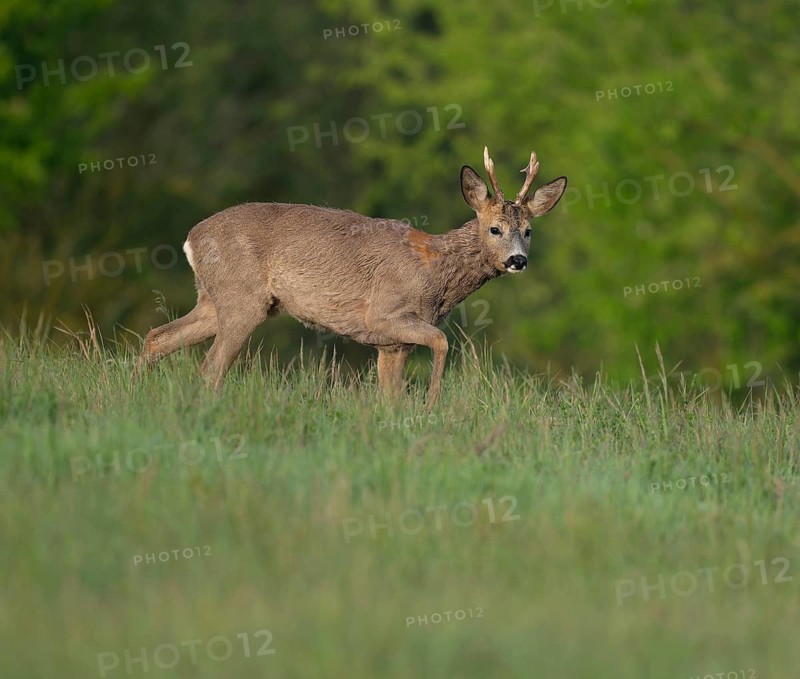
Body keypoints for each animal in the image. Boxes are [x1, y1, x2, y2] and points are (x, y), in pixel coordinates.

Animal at [138, 147, 567, 406]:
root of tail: (192, 238)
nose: (517, 260)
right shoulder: (384, 314)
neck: (436, 273)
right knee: (209, 369)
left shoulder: (391, 344)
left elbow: (391, 396)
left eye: (528, 231)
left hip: (214, 299)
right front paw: (432, 406)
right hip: (243, 298)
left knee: (157, 337)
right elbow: (442, 342)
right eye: (495, 228)